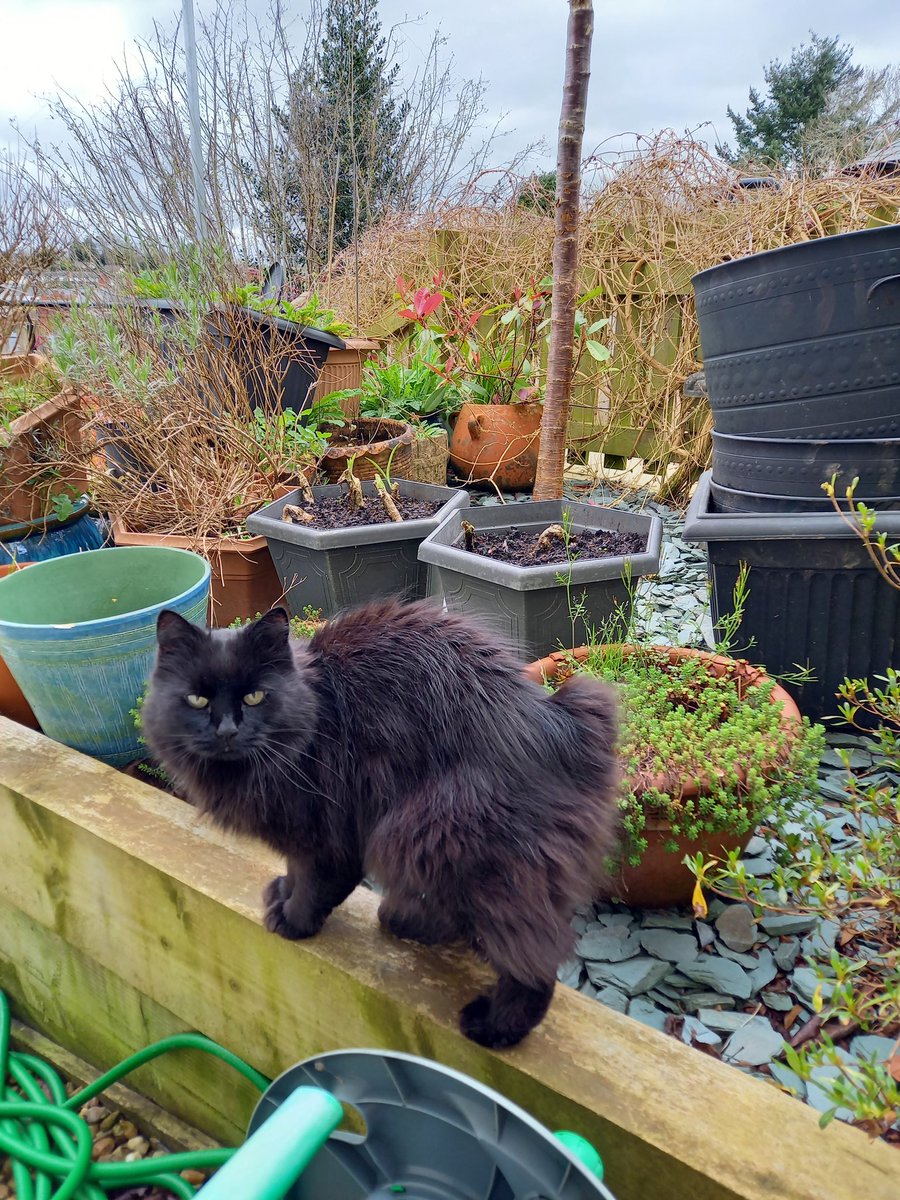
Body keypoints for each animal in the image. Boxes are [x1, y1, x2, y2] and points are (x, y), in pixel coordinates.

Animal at [142, 600, 619, 1051]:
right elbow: (294, 873)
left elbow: (315, 886)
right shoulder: (304, 839)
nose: (226, 730)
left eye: (255, 697)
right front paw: (280, 895)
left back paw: (494, 1028)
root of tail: (558, 723)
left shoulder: (327, 835)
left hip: (437, 839)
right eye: (198, 701)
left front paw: (292, 922)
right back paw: (406, 922)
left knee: (534, 961)